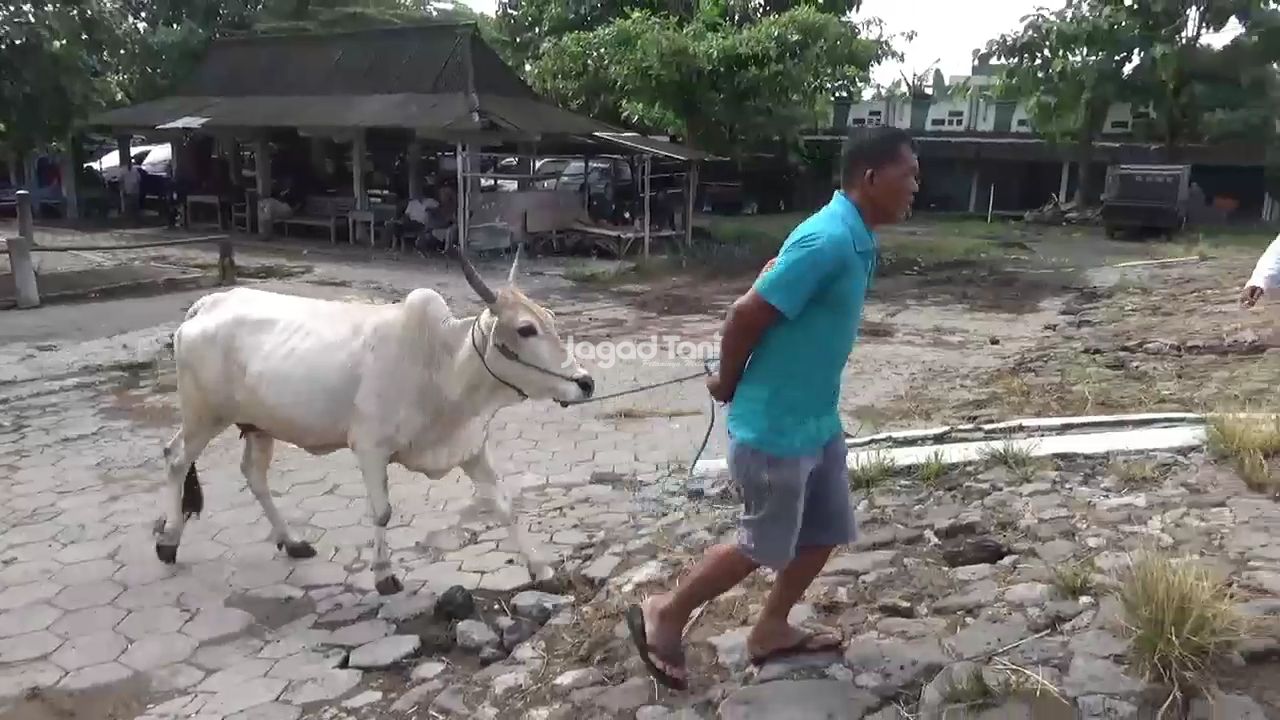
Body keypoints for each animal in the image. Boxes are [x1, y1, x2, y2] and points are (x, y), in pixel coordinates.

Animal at [154, 248, 593, 594]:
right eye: (525, 329)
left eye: (549, 318)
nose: (586, 383)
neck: (441, 366)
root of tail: (211, 303)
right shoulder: (369, 447)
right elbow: (382, 512)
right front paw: (384, 575)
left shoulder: (471, 448)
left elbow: (504, 505)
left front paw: (541, 568)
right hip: (203, 415)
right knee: (176, 458)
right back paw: (169, 541)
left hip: (258, 425)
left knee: (253, 474)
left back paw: (292, 541)